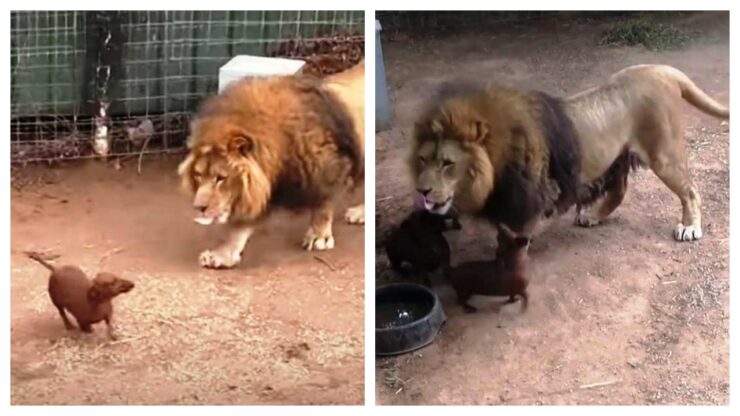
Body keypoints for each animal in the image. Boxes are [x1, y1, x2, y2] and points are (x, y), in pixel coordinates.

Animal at [179, 61, 364, 270]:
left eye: (221, 178)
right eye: (198, 176)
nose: (199, 208)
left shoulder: (327, 170)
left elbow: (323, 206)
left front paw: (319, 237)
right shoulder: (263, 187)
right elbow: (239, 229)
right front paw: (223, 255)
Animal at [410, 64, 728, 245]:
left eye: (448, 164)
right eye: (423, 160)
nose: (421, 190)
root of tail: (663, 69)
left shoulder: (531, 195)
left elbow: (516, 232)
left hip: (663, 153)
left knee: (690, 191)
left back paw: (690, 228)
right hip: (617, 157)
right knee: (619, 191)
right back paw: (592, 216)